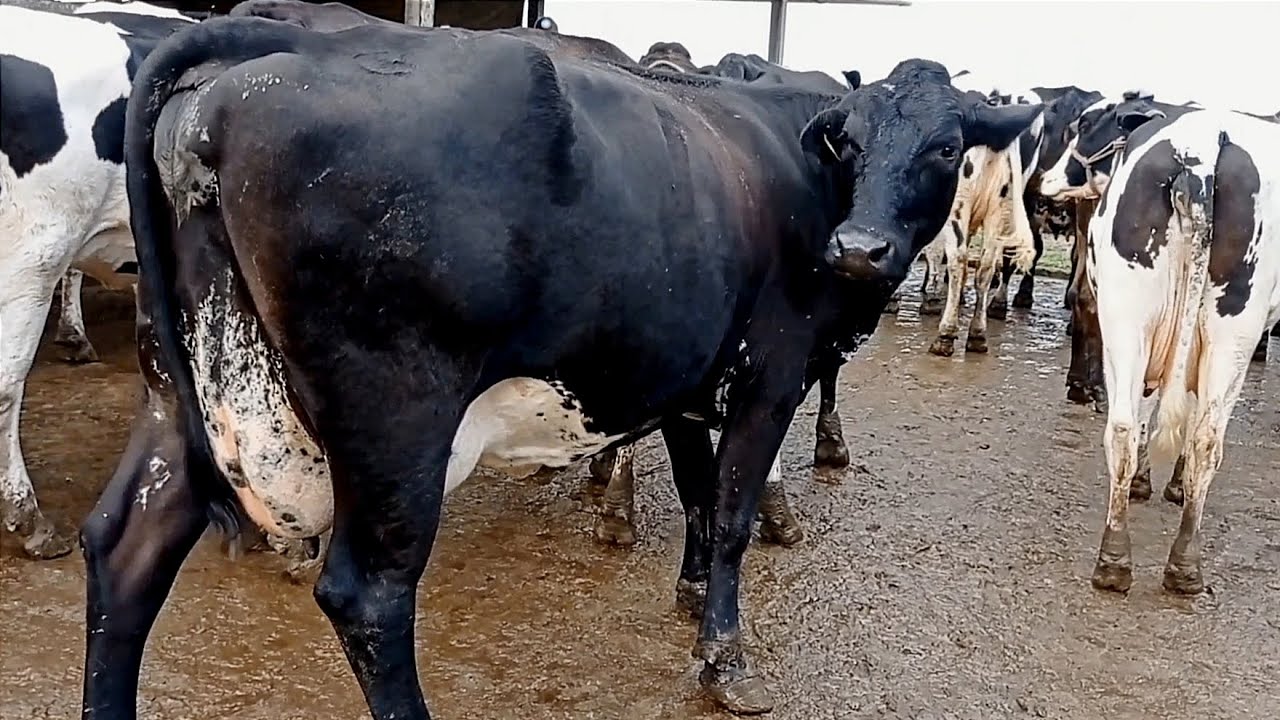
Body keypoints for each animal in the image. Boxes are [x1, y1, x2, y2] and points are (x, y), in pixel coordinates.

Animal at [78, 16, 1040, 718]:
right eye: (854, 145)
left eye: (945, 148)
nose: (861, 249)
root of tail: (283, 40)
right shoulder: (771, 373)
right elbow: (731, 511)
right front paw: (723, 657)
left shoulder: (690, 377)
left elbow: (697, 489)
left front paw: (691, 590)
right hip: (396, 423)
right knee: (368, 598)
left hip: (175, 395)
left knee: (125, 546)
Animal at [1077, 108, 1280, 596]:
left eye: (1089, 125)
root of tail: (1201, 150)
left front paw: (1150, 482)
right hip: (1222, 327)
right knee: (1195, 433)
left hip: (1133, 316)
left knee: (1138, 429)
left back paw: (1130, 562)